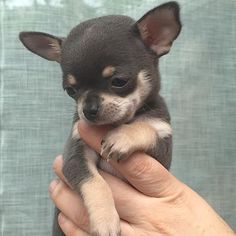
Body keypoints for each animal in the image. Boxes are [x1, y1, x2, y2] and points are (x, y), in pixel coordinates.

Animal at [18, 1, 181, 236]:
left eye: (119, 81)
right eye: (70, 90)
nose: (88, 109)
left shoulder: (162, 153)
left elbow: (146, 127)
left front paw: (122, 137)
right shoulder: (75, 156)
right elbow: (95, 183)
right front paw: (105, 220)